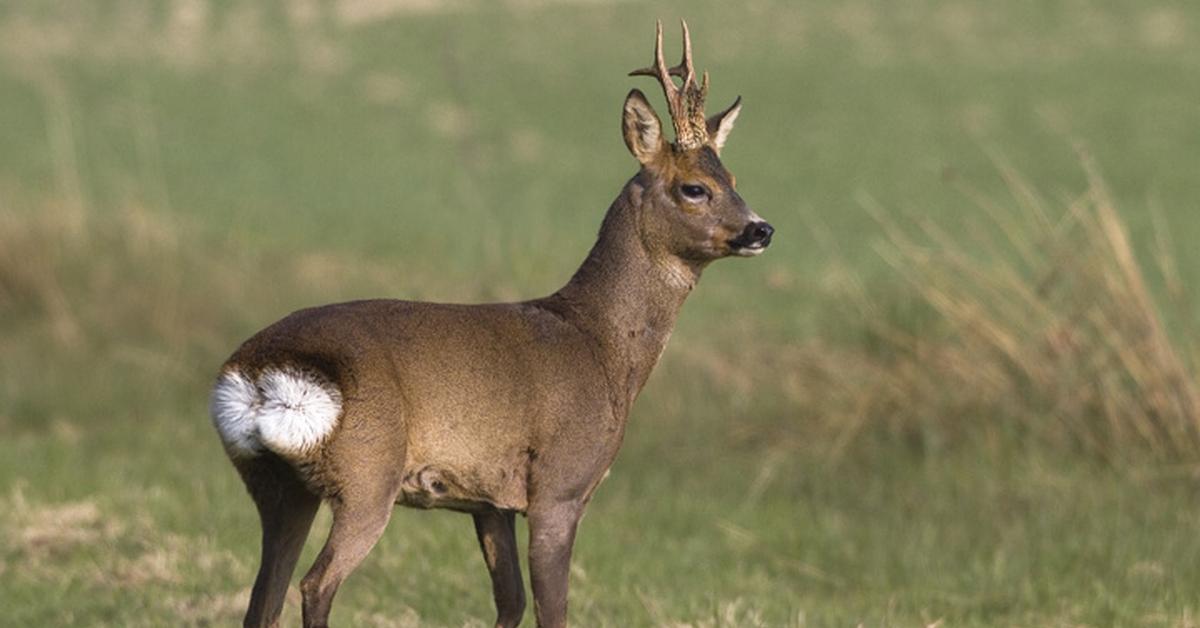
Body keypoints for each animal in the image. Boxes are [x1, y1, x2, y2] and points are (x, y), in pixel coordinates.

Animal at [211, 19, 772, 628]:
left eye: (733, 176)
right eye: (694, 187)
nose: (762, 229)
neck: (601, 345)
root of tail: (260, 374)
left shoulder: (487, 502)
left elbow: (510, 602)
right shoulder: (558, 488)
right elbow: (551, 609)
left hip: (276, 485)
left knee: (263, 594)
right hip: (366, 477)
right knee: (315, 584)